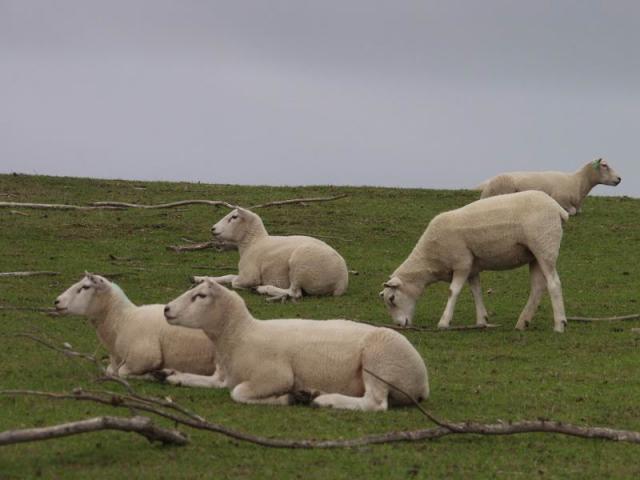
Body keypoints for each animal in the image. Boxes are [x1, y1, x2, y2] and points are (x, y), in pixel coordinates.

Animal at [54, 273, 216, 378]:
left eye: (86, 287)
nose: (57, 301)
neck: (123, 320)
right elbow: (110, 371)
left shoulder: (145, 357)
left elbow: (122, 373)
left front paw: (153, 374)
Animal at [161, 279, 429, 411]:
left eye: (200, 296)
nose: (166, 309)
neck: (240, 335)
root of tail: (423, 382)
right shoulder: (224, 376)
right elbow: (204, 380)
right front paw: (171, 374)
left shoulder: (276, 376)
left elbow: (238, 393)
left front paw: (288, 398)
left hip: (379, 362)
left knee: (375, 403)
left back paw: (325, 400)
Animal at [193, 207, 348, 301]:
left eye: (234, 217)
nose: (213, 229)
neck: (253, 243)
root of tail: (341, 281)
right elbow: (228, 276)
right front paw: (200, 278)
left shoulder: (249, 276)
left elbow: (234, 281)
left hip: (301, 264)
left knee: (294, 293)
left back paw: (262, 289)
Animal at [380, 191, 569, 332]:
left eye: (392, 298)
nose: (399, 325)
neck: (429, 260)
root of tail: (558, 208)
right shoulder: (472, 267)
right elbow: (476, 291)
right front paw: (481, 320)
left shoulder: (462, 263)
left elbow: (453, 291)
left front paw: (444, 322)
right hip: (534, 255)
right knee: (538, 287)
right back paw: (523, 322)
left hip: (544, 247)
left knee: (554, 283)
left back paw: (559, 324)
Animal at [479, 158, 621, 215]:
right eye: (604, 165)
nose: (619, 178)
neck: (577, 182)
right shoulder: (559, 197)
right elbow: (572, 211)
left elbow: (578, 211)